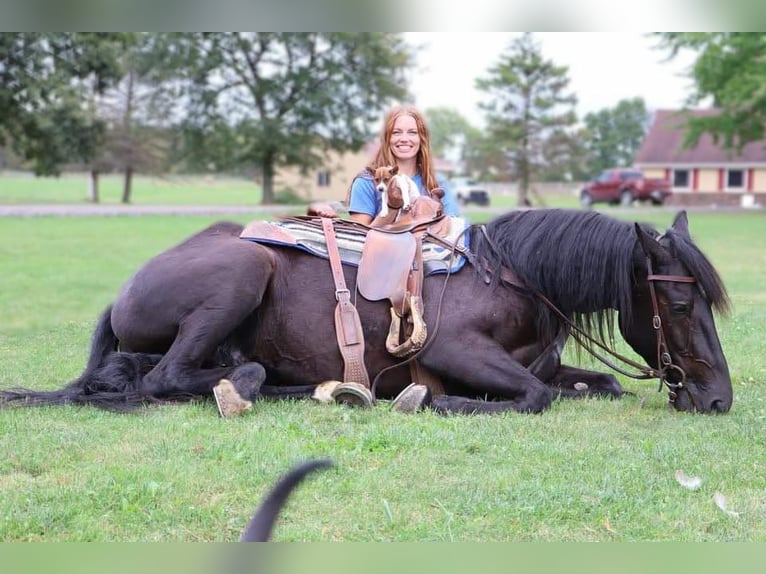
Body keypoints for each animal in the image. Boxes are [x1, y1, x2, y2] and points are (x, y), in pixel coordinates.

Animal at [0, 209, 736, 416]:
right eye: (678, 301)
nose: (718, 399)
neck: (514, 279)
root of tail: (123, 291)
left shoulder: (545, 363)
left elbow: (592, 381)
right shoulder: (451, 351)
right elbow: (533, 395)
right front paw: (439, 401)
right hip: (242, 272)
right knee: (165, 380)